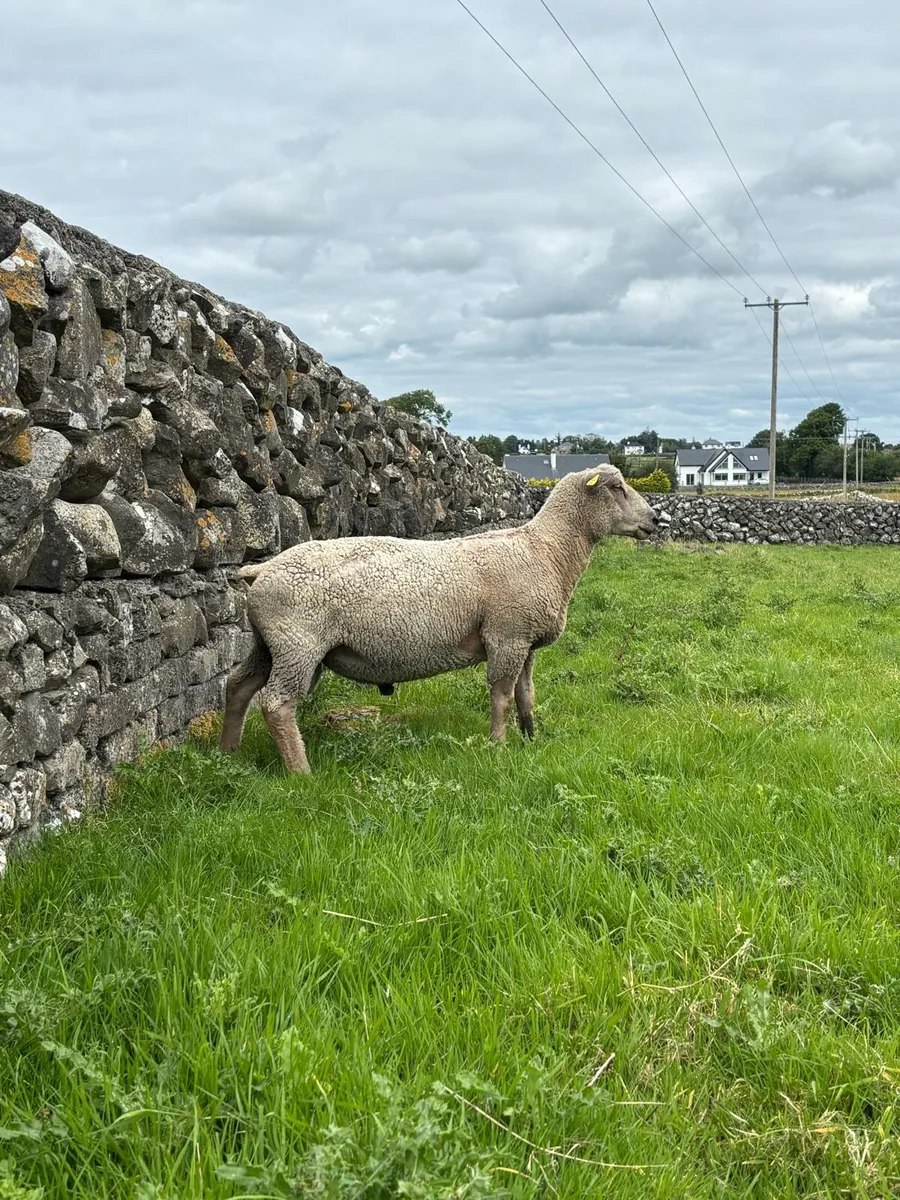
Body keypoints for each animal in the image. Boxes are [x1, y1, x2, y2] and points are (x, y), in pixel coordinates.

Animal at [221, 465, 665, 772]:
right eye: (616, 487)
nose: (657, 520)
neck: (546, 550)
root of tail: (261, 570)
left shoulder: (526, 641)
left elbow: (526, 694)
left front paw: (531, 737)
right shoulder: (507, 635)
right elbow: (502, 696)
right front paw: (498, 745)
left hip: (268, 643)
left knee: (238, 686)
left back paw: (228, 753)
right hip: (299, 645)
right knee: (276, 704)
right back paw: (301, 772)